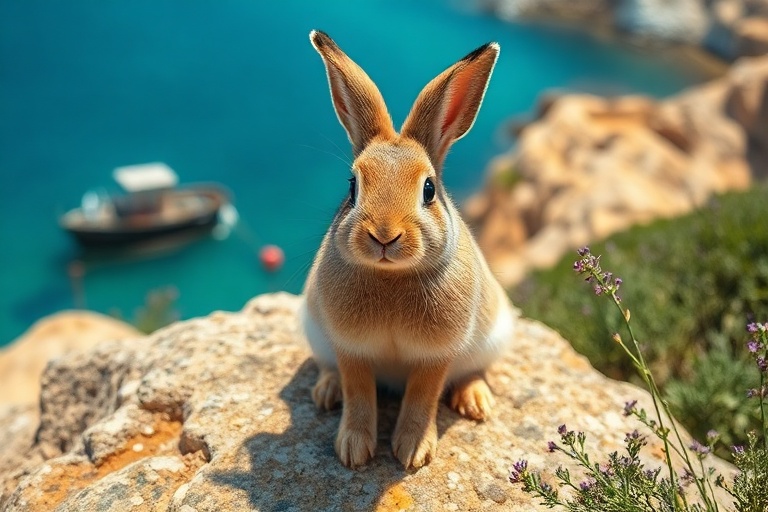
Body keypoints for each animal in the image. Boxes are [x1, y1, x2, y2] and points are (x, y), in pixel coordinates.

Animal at [300, 30, 515, 470]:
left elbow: (422, 396)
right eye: (352, 187)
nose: (384, 235)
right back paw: (326, 392)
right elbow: (358, 393)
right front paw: (353, 450)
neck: (391, 276)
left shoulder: (436, 356)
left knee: (474, 372)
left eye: (429, 189)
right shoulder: (350, 350)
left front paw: (413, 453)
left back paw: (476, 402)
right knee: (330, 371)